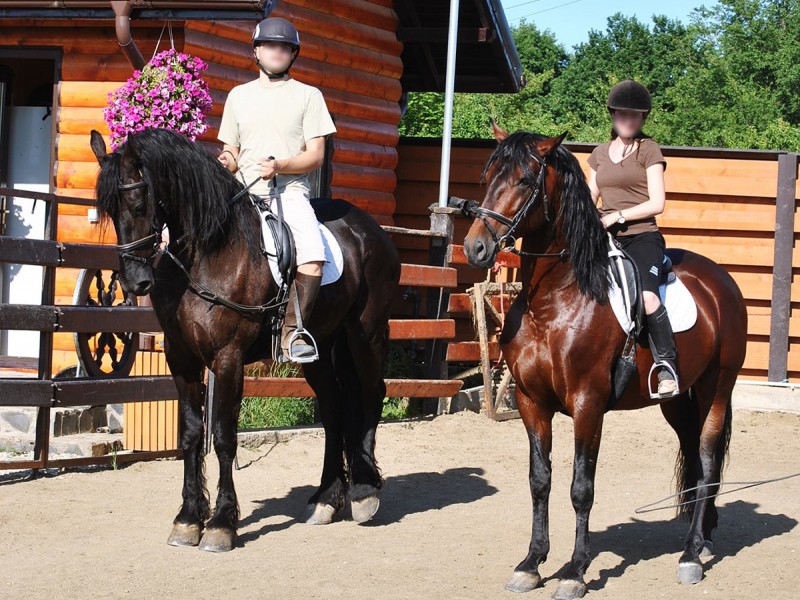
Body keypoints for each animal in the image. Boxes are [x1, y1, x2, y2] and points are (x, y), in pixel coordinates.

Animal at [90, 128, 400, 552]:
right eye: (107, 209)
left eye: (138, 204)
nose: (136, 282)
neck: (207, 254)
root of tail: (370, 230)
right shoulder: (181, 358)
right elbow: (191, 435)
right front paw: (188, 520)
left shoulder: (228, 359)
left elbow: (223, 437)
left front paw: (221, 524)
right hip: (320, 347)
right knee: (334, 408)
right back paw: (325, 499)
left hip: (365, 333)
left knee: (371, 392)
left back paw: (365, 493)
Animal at [460, 124, 747, 598]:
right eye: (489, 177)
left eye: (525, 180)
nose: (476, 248)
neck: (553, 301)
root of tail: (722, 281)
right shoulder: (530, 402)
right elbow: (540, 481)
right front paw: (532, 563)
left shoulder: (587, 404)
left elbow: (581, 487)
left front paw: (575, 572)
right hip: (675, 399)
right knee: (692, 452)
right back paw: (702, 538)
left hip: (717, 389)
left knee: (706, 461)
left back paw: (690, 557)